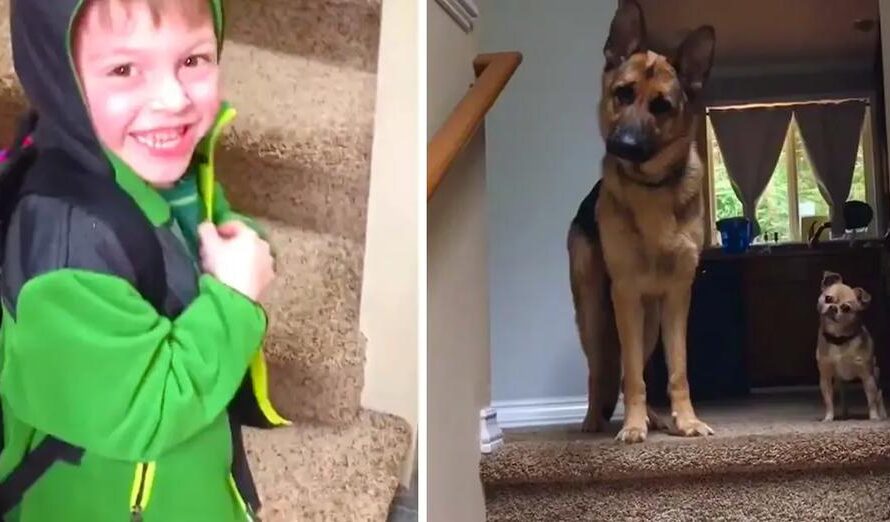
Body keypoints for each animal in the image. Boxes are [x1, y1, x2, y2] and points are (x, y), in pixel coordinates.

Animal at [816, 270, 884, 420]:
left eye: (846, 308)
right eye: (828, 298)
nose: (833, 307)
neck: (839, 339)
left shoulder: (867, 377)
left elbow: (871, 401)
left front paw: (874, 418)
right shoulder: (826, 377)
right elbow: (828, 401)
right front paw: (828, 418)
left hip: (876, 375)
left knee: (879, 396)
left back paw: (883, 415)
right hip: (840, 383)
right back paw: (844, 415)